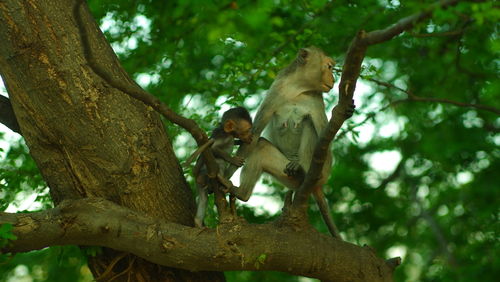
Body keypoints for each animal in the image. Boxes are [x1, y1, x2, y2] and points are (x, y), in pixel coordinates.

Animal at [234, 45, 356, 238]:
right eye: (329, 66)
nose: (333, 78)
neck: (297, 89)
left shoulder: (316, 100)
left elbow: (325, 136)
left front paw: (343, 112)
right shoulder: (276, 90)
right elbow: (255, 134)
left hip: (319, 169)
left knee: (308, 124)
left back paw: (302, 169)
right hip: (285, 175)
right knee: (261, 146)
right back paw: (242, 194)